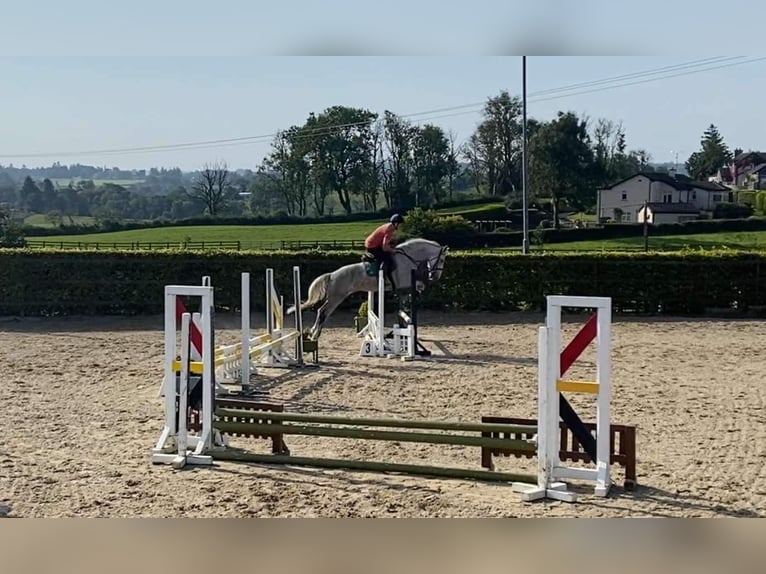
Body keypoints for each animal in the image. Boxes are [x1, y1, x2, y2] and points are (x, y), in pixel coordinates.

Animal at [288, 238, 450, 342]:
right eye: (442, 260)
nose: (435, 276)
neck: (408, 258)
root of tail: (332, 275)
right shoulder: (404, 283)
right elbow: (414, 287)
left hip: (335, 297)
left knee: (321, 311)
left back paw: (312, 333)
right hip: (337, 298)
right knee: (323, 312)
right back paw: (315, 335)